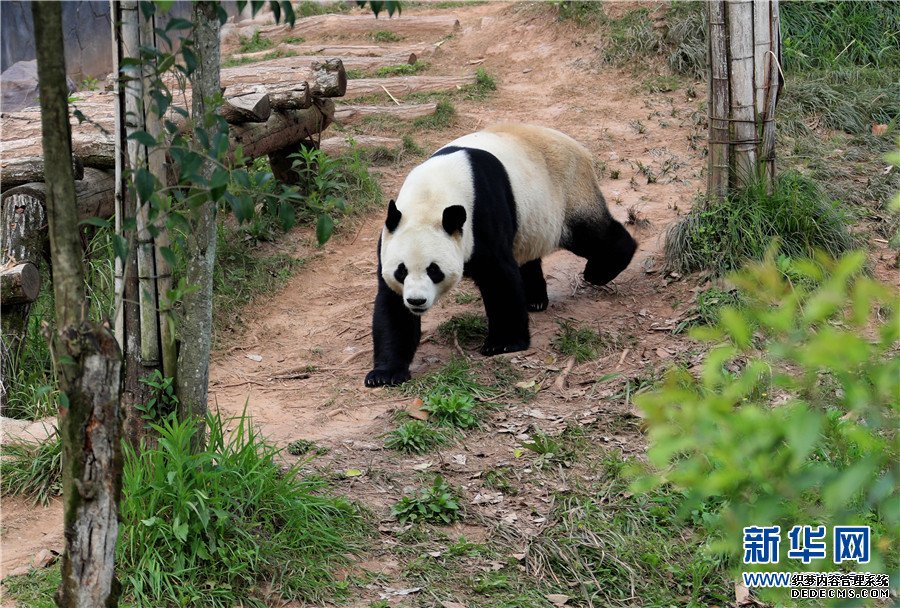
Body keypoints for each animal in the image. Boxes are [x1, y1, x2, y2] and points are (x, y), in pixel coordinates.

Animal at [362, 123, 636, 388]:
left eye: (434, 270)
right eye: (401, 271)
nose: (416, 301)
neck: (430, 196)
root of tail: (577, 147)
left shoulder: (481, 215)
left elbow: (498, 276)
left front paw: (504, 343)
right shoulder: (390, 238)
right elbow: (392, 307)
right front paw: (385, 374)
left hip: (567, 192)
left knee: (590, 234)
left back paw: (601, 270)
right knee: (528, 256)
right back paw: (535, 300)